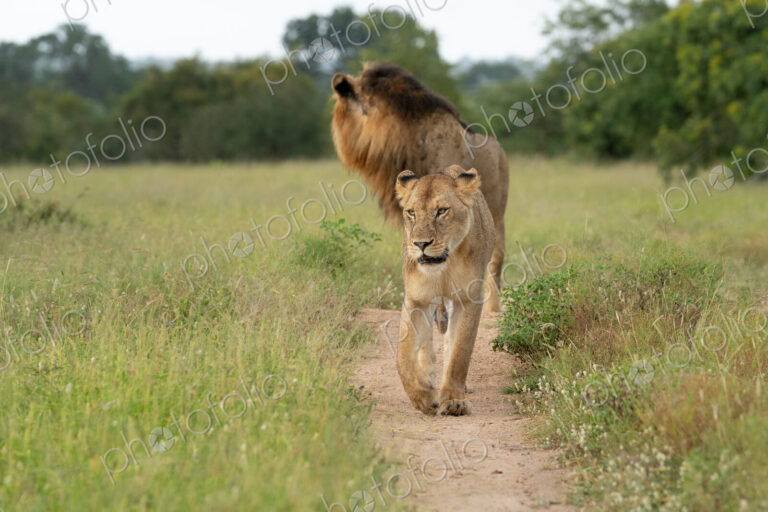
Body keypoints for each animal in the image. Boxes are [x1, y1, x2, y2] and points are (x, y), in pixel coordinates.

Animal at [394, 165, 495, 415]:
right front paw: (423, 397)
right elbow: (403, 358)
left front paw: (453, 400)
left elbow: (460, 351)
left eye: (441, 211)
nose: (420, 244)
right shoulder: (415, 299)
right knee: (426, 343)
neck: (444, 265)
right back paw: (428, 376)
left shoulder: (468, 298)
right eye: (411, 212)